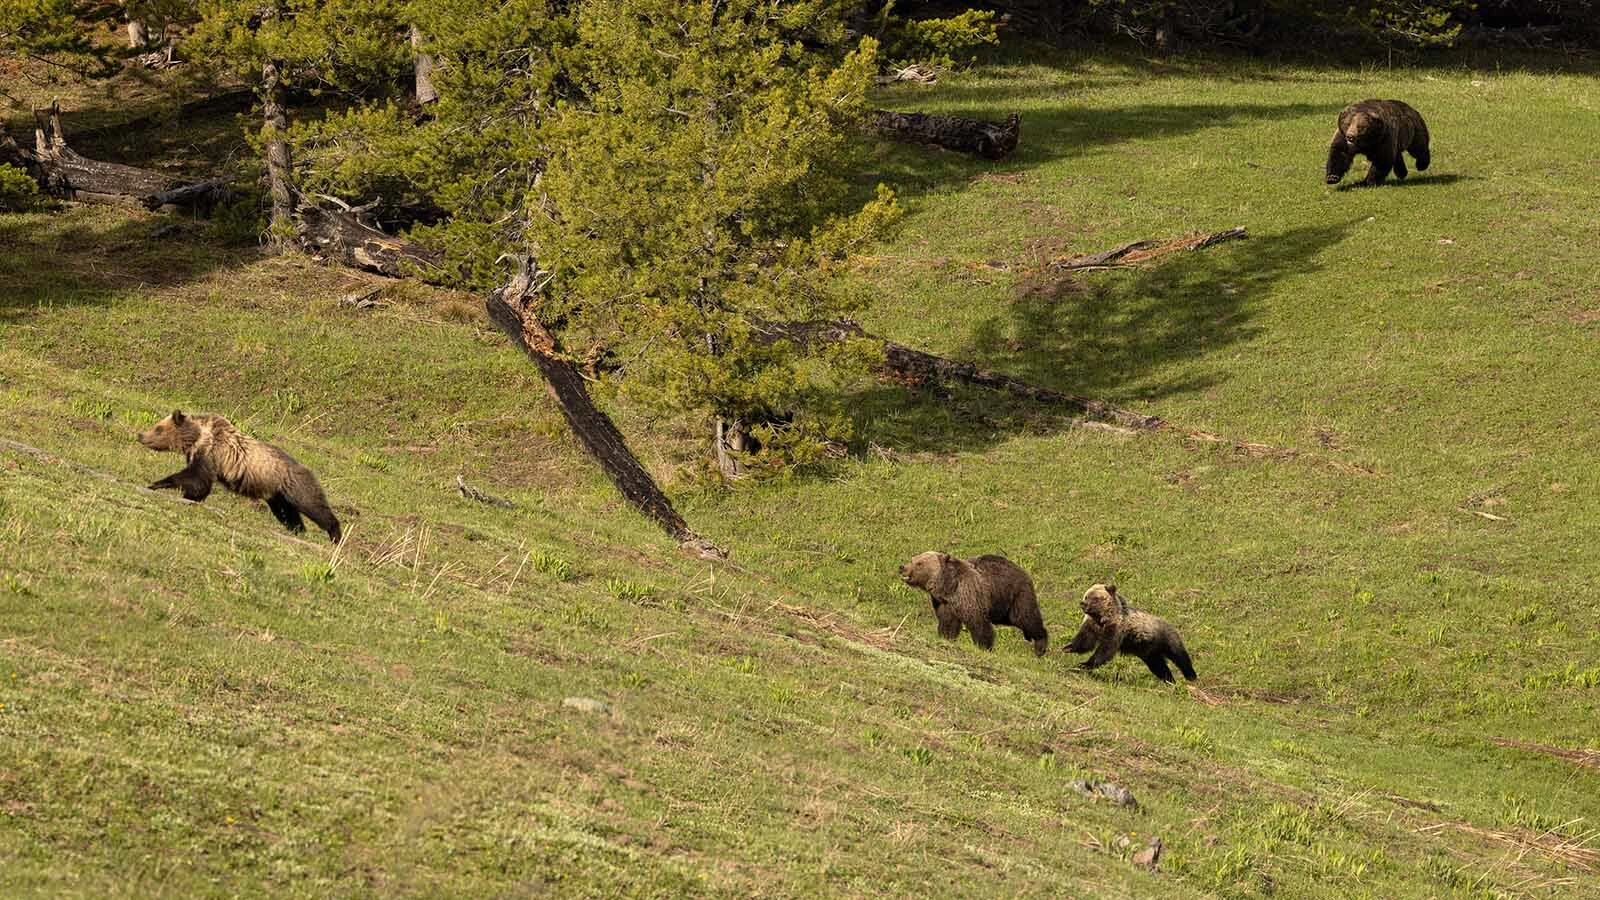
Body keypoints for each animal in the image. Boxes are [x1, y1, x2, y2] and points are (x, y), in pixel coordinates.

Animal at [140, 410, 342, 542]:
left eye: (158, 428)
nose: (140, 435)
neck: (196, 437)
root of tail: (308, 469)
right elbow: (199, 484)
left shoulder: (210, 454)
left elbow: (197, 479)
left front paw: (158, 484)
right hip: (277, 495)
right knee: (288, 514)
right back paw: (297, 530)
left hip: (294, 485)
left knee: (315, 506)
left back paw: (335, 535)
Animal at [898, 551, 1049, 655]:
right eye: (913, 559)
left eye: (920, 563)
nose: (902, 567)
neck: (949, 588)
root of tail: (1024, 572)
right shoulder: (944, 603)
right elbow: (948, 623)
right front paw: (946, 637)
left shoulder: (970, 596)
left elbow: (979, 624)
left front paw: (984, 646)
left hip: (1015, 595)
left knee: (1026, 618)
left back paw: (1040, 645)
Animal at [1065, 583, 1195, 683]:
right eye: (1086, 596)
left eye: (1095, 598)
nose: (1083, 603)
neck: (1102, 619)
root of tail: (1169, 623)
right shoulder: (1092, 626)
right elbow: (1084, 642)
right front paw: (1067, 648)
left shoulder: (1116, 629)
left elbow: (1106, 649)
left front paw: (1084, 664)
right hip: (1149, 652)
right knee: (1159, 666)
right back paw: (1169, 680)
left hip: (1165, 638)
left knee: (1179, 656)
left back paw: (1191, 676)